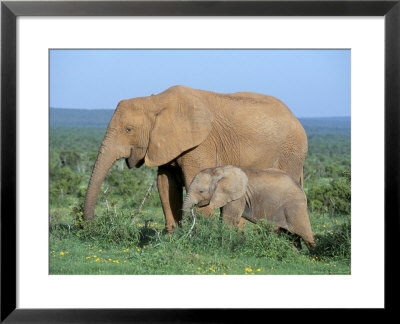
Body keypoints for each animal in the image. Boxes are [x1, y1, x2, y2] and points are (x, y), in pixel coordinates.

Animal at [83, 86, 308, 233]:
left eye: (128, 130)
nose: (90, 225)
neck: (155, 101)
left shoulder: (200, 143)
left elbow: (195, 179)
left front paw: (201, 237)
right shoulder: (165, 144)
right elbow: (166, 185)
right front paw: (172, 238)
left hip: (291, 153)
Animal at [183, 166, 318, 249]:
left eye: (201, 191)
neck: (219, 169)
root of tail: (301, 188)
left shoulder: (239, 196)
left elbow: (228, 220)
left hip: (295, 207)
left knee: (305, 234)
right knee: (291, 236)